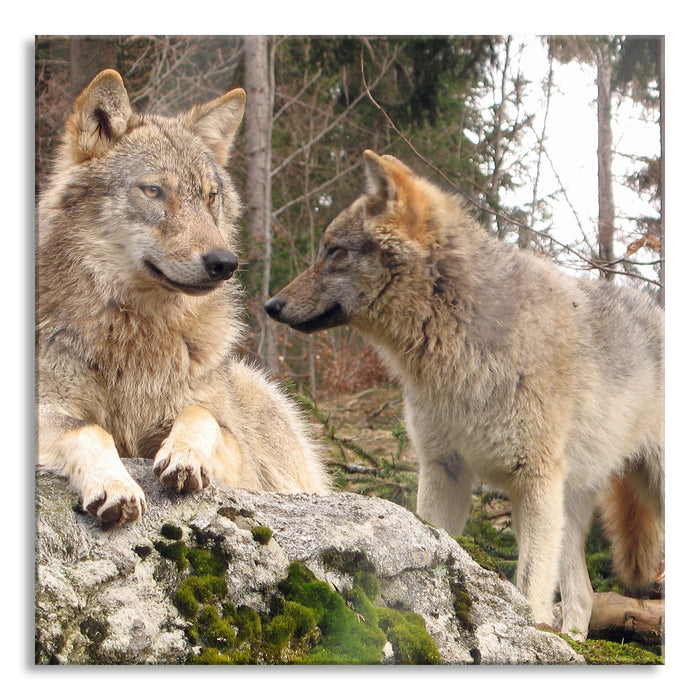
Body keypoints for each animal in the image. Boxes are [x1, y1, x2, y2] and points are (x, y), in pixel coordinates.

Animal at [36, 69, 331, 527]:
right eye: (154, 191)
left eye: (211, 196)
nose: (224, 262)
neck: (136, 331)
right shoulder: (48, 408)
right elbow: (90, 430)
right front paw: (115, 484)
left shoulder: (236, 452)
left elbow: (201, 415)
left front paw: (186, 456)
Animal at [265, 150, 664, 640]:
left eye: (334, 251)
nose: (271, 306)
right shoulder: (444, 469)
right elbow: (438, 546)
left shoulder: (533, 481)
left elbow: (530, 584)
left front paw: (527, 632)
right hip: (569, 510)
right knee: (584, 596)